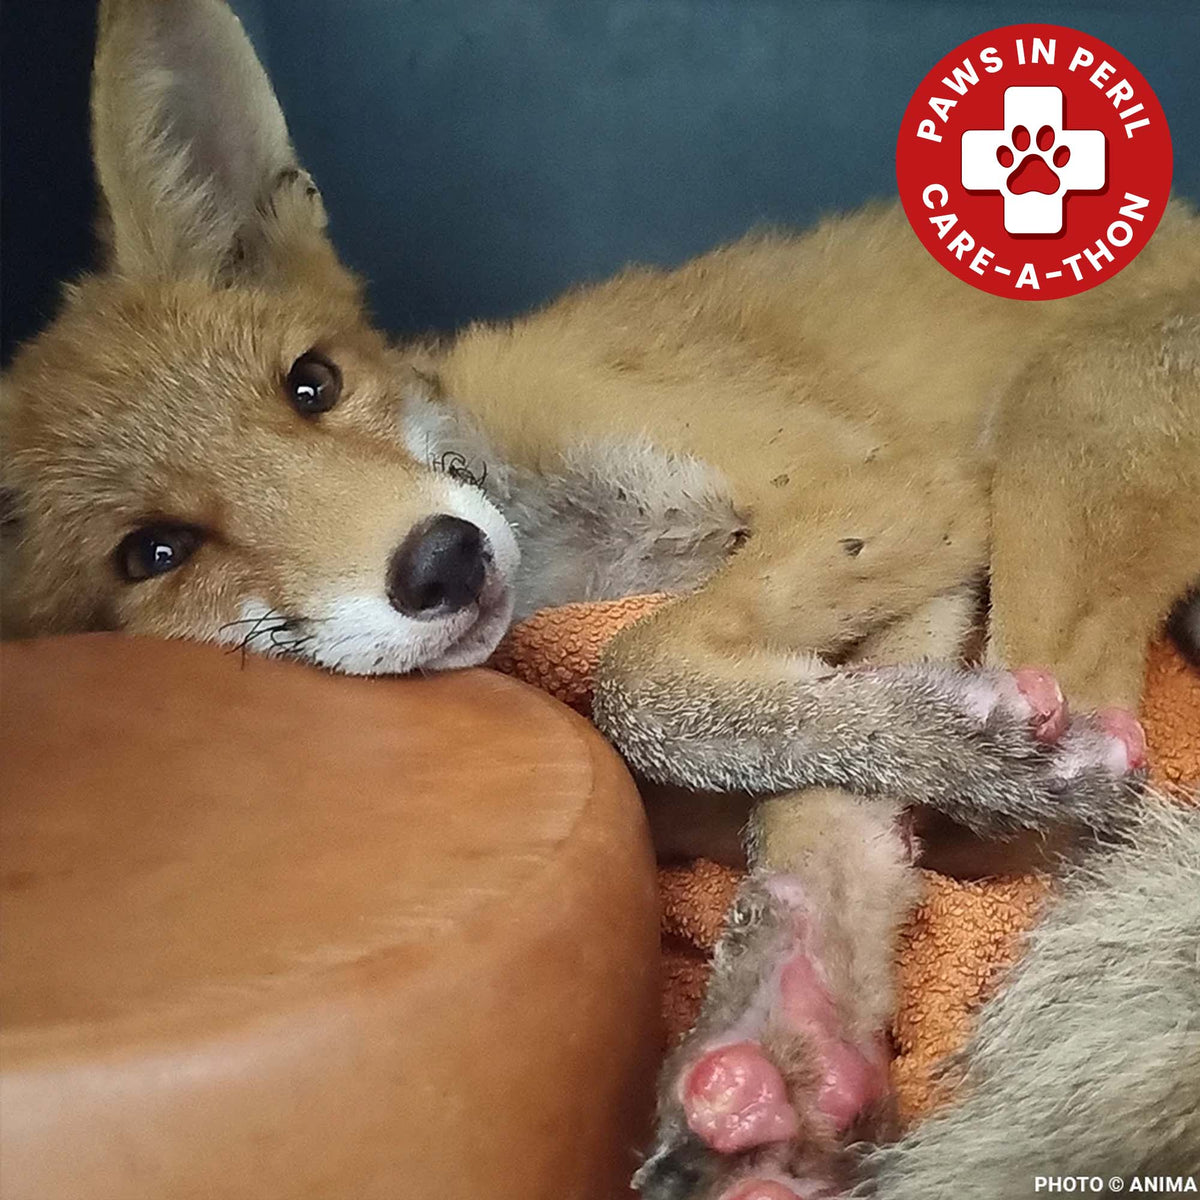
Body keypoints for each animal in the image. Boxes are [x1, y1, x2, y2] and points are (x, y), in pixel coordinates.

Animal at [2, 1, 1199, 1196]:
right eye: (155, 552)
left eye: (312, 385)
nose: (443, 562)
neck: (576, 551)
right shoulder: (918, 558)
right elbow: (813, 794)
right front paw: (791, 1037)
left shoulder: (902, 489)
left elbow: (643, 685)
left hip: (1064, 406)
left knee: (1063, 808)